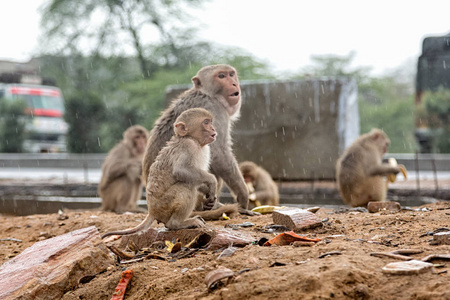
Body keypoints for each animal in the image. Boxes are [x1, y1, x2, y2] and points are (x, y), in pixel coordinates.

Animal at [102, 109, 221, 238]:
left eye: (210, 122)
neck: (193, 139)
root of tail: (151, 211)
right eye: (206, 122)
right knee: (186, 186)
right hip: (163, 205)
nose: (213, 129)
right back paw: (177, 224)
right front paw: (212, 181)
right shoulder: (188, 146)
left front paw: (209, 196)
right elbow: (181, 171)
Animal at [142, 63, 258, 216]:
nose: (234, 83)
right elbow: (220, 154)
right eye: (221, 76)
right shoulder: (215, 109)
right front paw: (243, 198)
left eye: (231, 74)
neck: (208, 94)